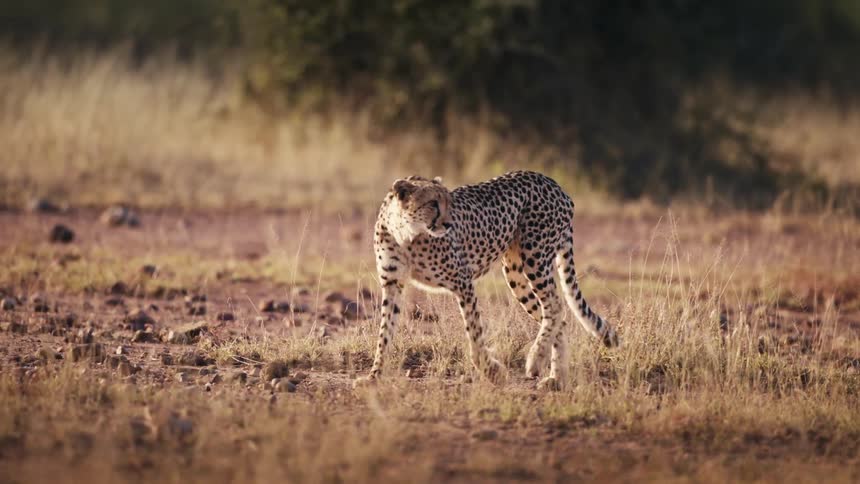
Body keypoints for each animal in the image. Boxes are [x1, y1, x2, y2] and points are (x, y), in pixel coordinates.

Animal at [355, 170, 618, 390]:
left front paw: (493, 372)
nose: (448, 223)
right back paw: (556, 378)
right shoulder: (392, 284)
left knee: (555, 305)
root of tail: (554, 183)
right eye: (432, 203)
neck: (406, 234)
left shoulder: (463, 282)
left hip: (535, 258)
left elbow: (474, 335)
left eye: (448, 202)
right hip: (514, 272)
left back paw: (535, 360)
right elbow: (384, 333)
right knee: (556, 316)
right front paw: (374, 376)